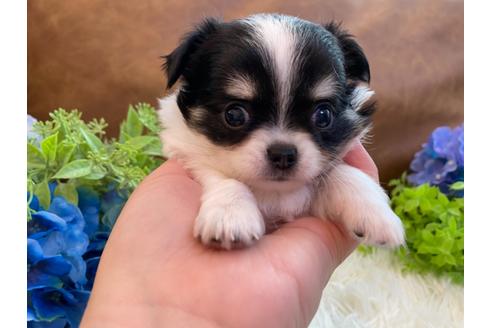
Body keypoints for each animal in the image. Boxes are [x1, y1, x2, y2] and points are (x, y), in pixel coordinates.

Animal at [158, 12, 404, 249]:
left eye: (323, 115)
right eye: (234, 115)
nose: (283, 154)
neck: (274, 192)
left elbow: (341, 173)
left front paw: (376, 214)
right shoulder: (187, 153)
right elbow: (223, 177)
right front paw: (231, 216)